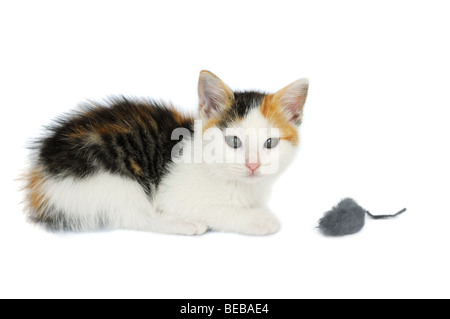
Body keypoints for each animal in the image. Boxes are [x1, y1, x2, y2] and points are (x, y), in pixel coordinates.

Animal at [22, 73, 310, 238]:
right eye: (234, 142)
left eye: (270, 143)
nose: (253, 165)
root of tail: (40, 175)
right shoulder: (173, 195)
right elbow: (212, 209)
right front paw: (258, 220)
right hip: (112, 177)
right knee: (136, 217)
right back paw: (185, 225)